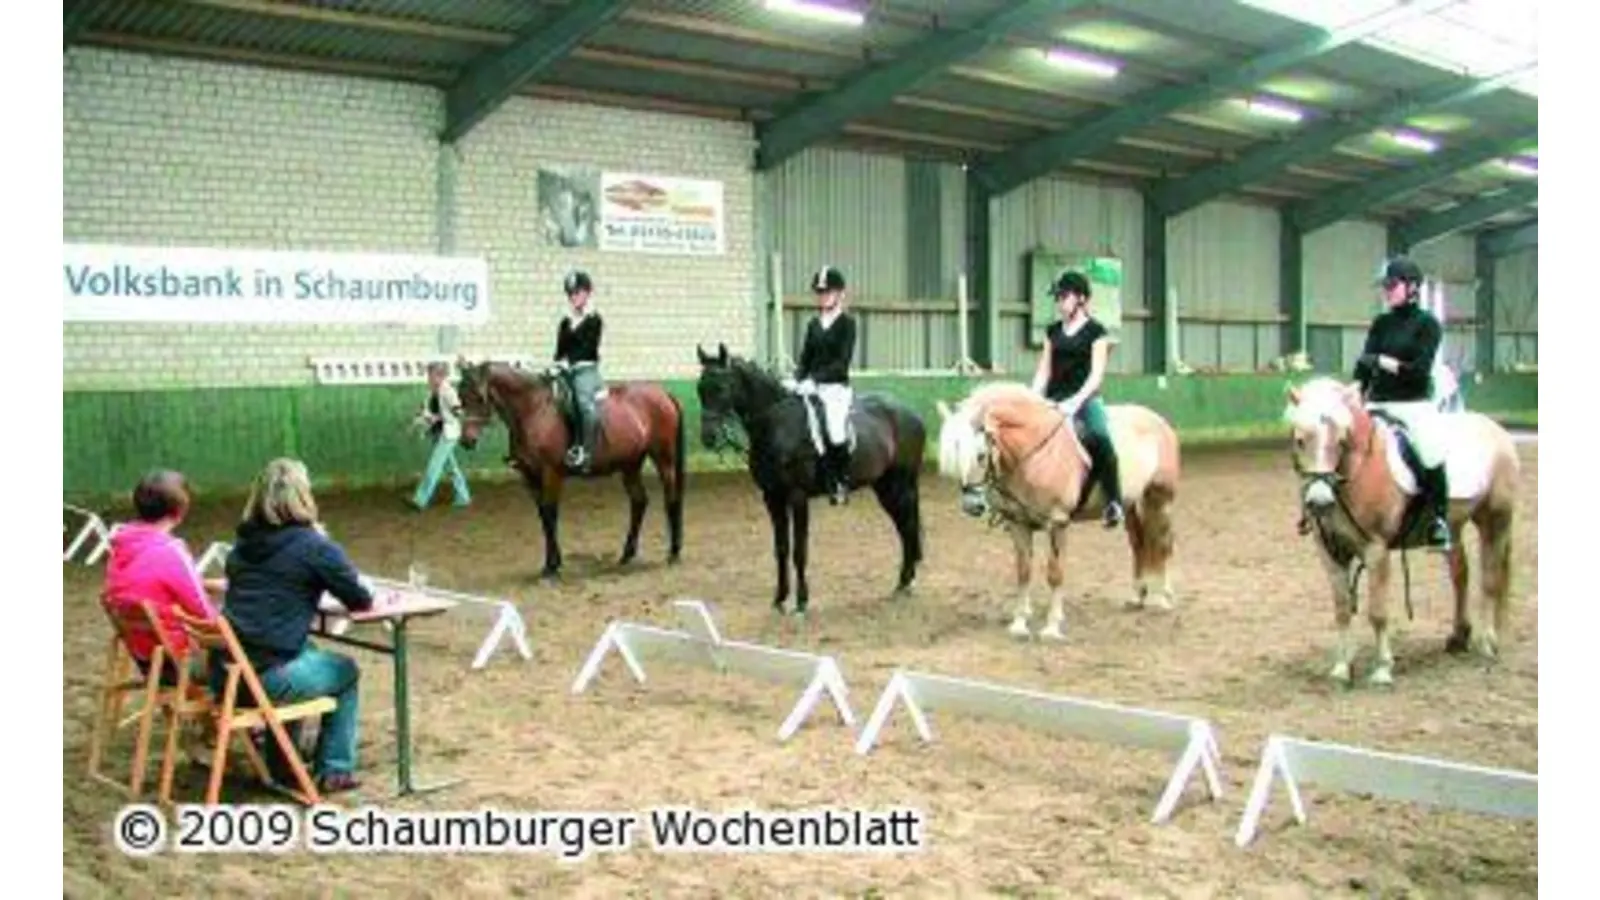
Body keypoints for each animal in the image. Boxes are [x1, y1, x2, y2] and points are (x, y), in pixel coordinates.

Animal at [454, 359, 686, 579]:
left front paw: (552, 567)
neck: (534, 411)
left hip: (664, 458)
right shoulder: (529, 477)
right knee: (639, 501)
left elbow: (550, 513)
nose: (467, 440)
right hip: (630, 465)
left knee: (670, 498)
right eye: (460, 396)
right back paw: (627, 555)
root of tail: (663, 393)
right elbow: (543, 516)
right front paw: (551, 564)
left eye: (479, 397)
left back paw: (673, 554)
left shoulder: (551, 473)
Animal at [694, 343, 926, 619]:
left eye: (722, 387)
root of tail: (911, 413)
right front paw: (779, 599)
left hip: (901, 484)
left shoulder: (797, 496)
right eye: (700, 388)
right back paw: (903, 583)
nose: (709, 438)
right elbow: (781, 549)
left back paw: (906, 584)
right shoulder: (772, 497)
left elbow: (799, 550)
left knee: (908, 527)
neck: (776, 424)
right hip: (885, 487)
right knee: (903, 528)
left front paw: (802, 603)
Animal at [935, 382, 1181, 640]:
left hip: (1159, 500)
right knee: (1138, 543)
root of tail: (1157, 419)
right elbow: (1023, 571)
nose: (972, 505)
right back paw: (1137, 596)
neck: (1033, 456)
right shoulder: (1018, 522)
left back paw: (1161, 599)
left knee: (1163, 543)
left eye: (981, 455)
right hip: (1130, 503)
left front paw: (1051, 628)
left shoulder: (1057, 523)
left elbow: (1055, 573)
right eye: (953, 456)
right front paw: (1019, 624)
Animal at [1283, 376, 1521, 687]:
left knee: (1490, 579)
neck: (1355, 474)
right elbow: (1342, 610)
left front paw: (1383, 670)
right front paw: (1341, 668)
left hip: (1495, 520)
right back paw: (1458, 637)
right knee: (1461, 575)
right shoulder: (1330, 552)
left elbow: (1377, 612)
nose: (1320, 501)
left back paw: (1488, 643)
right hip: (1453, 527)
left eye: (1341, 440)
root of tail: (1496, 430)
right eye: (1300, 440)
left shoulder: (1376, 550)